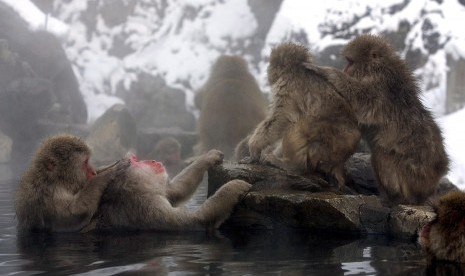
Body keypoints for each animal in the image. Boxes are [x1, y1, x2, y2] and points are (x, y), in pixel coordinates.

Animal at [86, 149, 254, 231]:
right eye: (135, 161)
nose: (153, 160)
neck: (138, 191)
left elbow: (175, 191)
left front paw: (209, 156)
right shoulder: (148, 208)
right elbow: (196, 221)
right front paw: (234, 187)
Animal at [245, 42, 360, 190]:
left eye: (272, 63)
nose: (268, 71)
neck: (294, 69)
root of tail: (339, 162)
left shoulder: (286, 86)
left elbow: (280, 119)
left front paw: (254, 148)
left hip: (324, 149)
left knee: (301, 124)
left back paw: (290, 165)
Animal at [302, 34, 448, 205]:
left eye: (350, 62)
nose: (344, 69)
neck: (376, 68)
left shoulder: (379, 85)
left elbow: (362, 101)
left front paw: (326, 71)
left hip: (413, 177)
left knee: (381, 154)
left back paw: (396, 198)